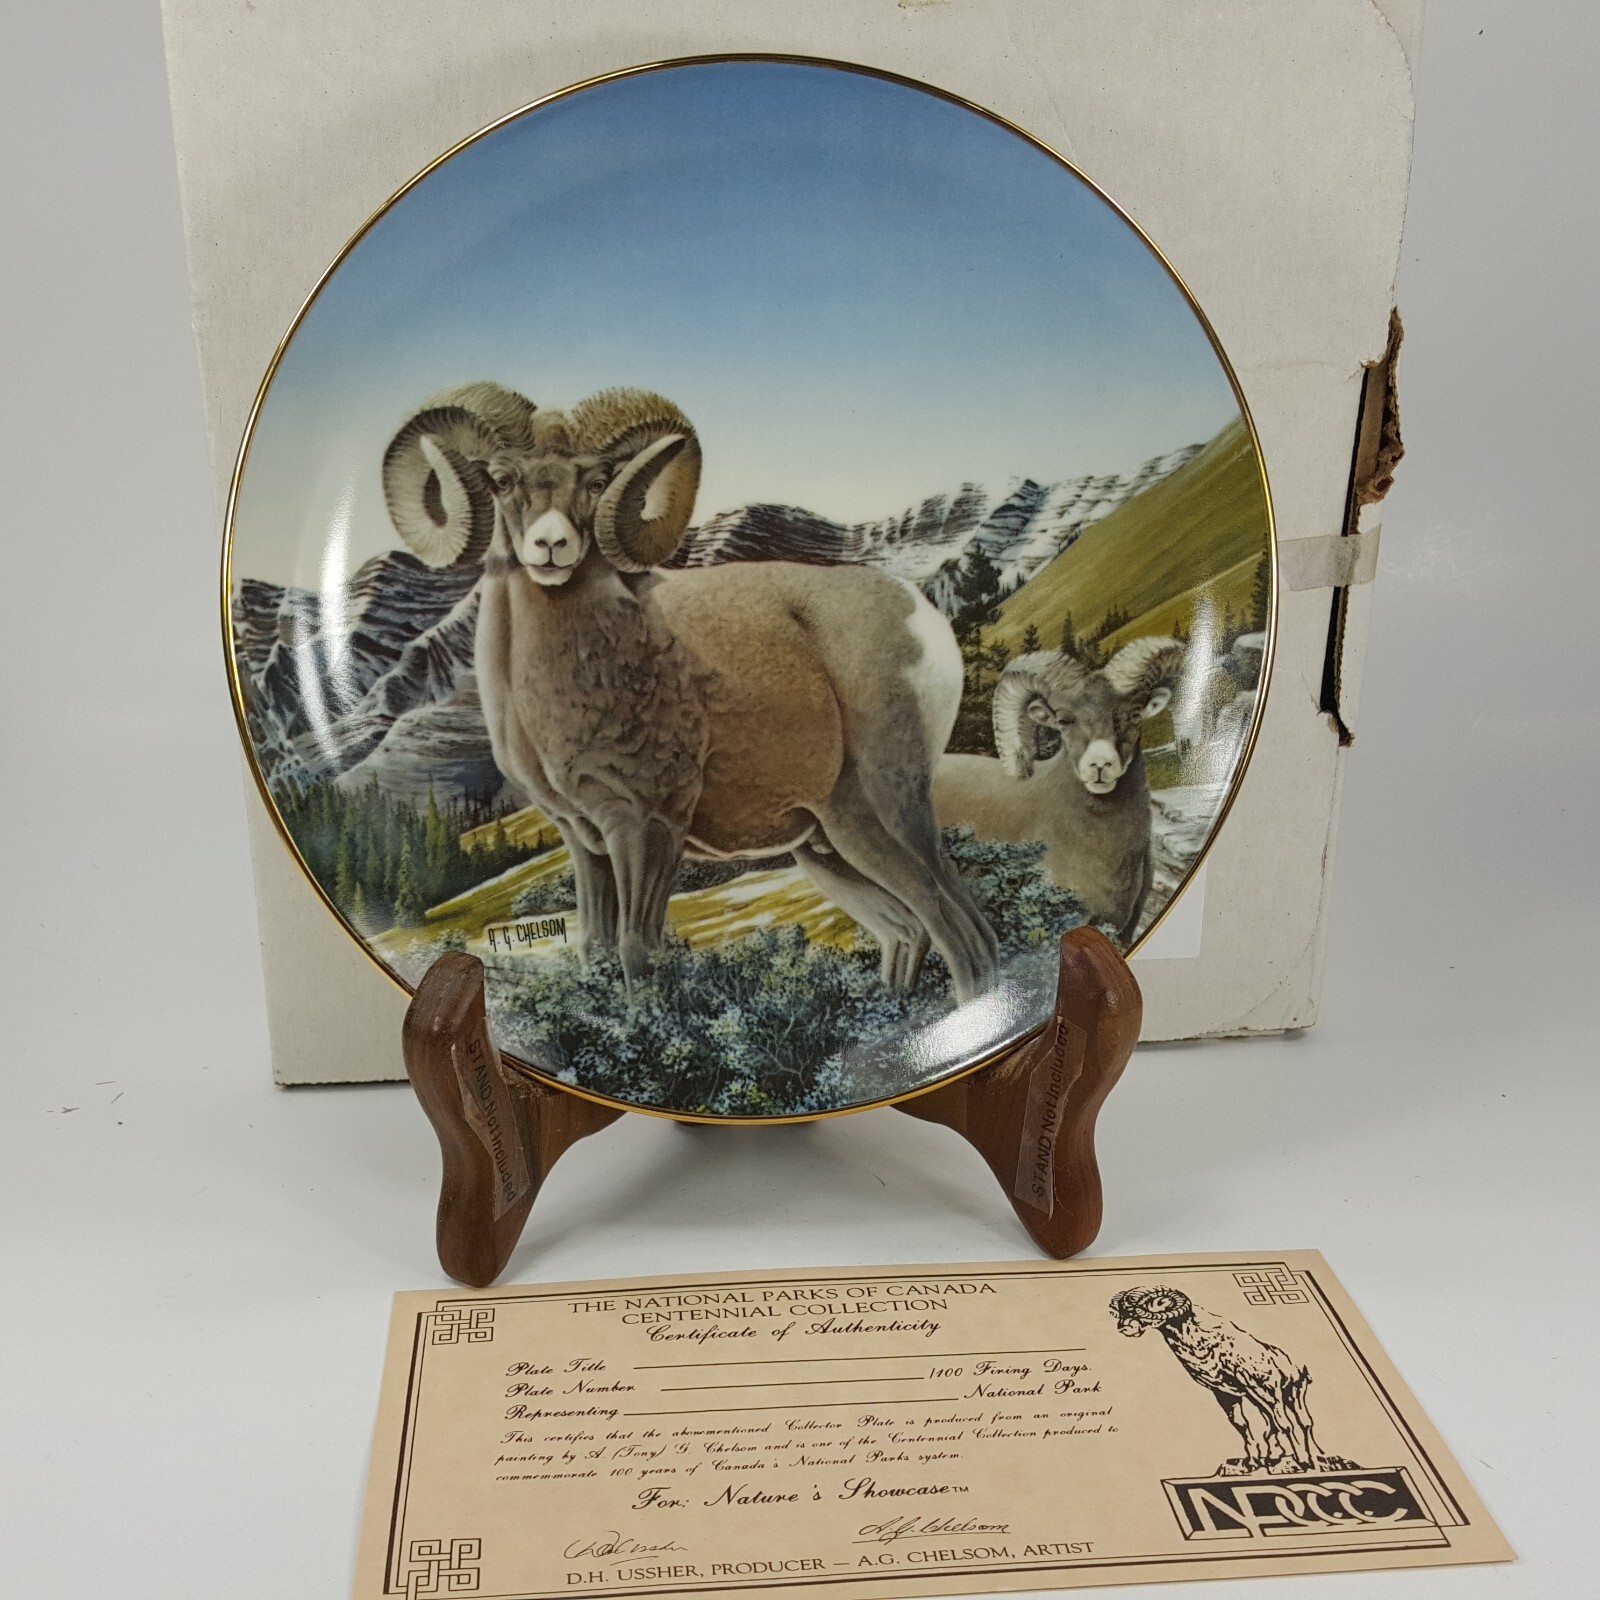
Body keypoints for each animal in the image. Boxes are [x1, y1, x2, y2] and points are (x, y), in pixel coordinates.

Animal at [382, 382, 999, 999]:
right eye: (502, 478)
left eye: (597, 481)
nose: (551, 545)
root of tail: (920, 618)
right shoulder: (585, 840)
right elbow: (594, 948)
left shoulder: (647, 826)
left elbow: (637, 951)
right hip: (825, 850)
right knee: (912, 933)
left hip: (879, 818)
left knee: (961, 932)